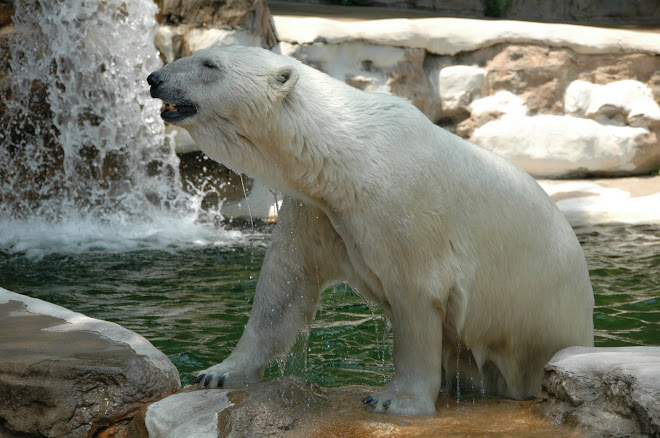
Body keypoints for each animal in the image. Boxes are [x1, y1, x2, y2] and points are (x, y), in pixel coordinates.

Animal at [148, 46, 592, 416]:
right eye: (200, 55)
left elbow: (418, 294)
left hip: (548, 316)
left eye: (210, 65)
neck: (347, 157)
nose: (154, 78)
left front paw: (393, 400)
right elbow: (284, 289)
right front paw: (218, 372)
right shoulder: (317, 211)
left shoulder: (406, 206)